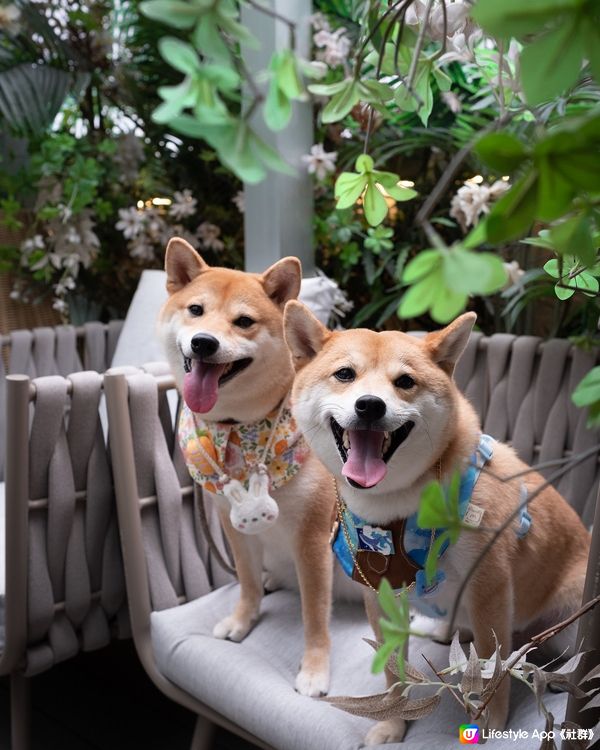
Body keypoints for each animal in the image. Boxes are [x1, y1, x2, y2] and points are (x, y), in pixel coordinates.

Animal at [159, 241, 336, 700]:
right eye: (196, 310)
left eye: (243, 322)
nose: (204, 342)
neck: (239, 429)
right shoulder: (230, 522)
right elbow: (246, 581)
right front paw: (243, 620)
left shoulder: (313, 538)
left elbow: (314, 613)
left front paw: (315, 669)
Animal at [284, 302, 588, 748]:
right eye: (344, 374)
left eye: (405, 382)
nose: (370, 405)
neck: (396, 509)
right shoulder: (380, 598)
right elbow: (393, 673)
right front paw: (394, 723)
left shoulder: (490, 589)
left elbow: (493, 673)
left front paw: (491, 725)